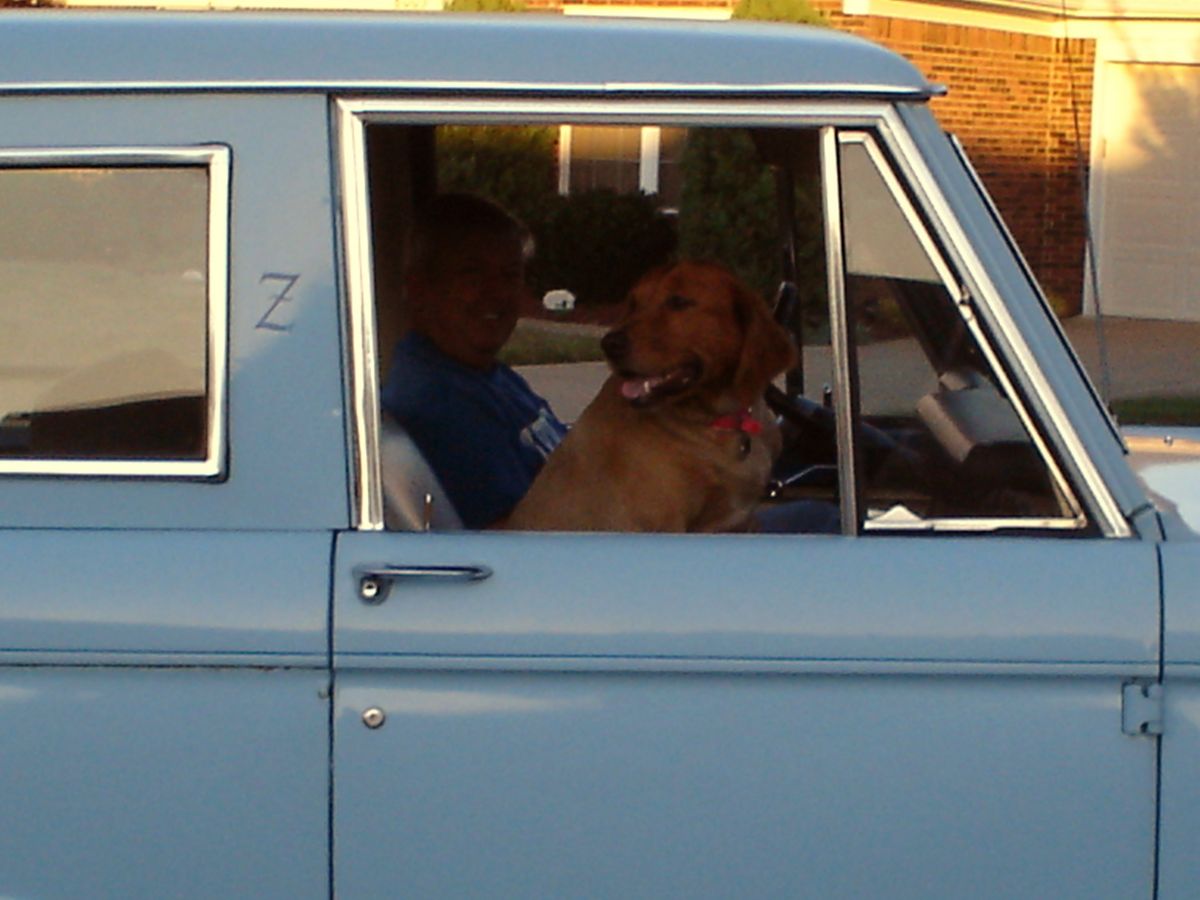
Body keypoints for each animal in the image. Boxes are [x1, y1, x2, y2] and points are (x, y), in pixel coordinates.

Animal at [504, 260, 796, 532]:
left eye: (678, 301)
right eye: (633, 304)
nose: (609, 344)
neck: (718, 421)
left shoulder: (742, 521)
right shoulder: (662, 523)